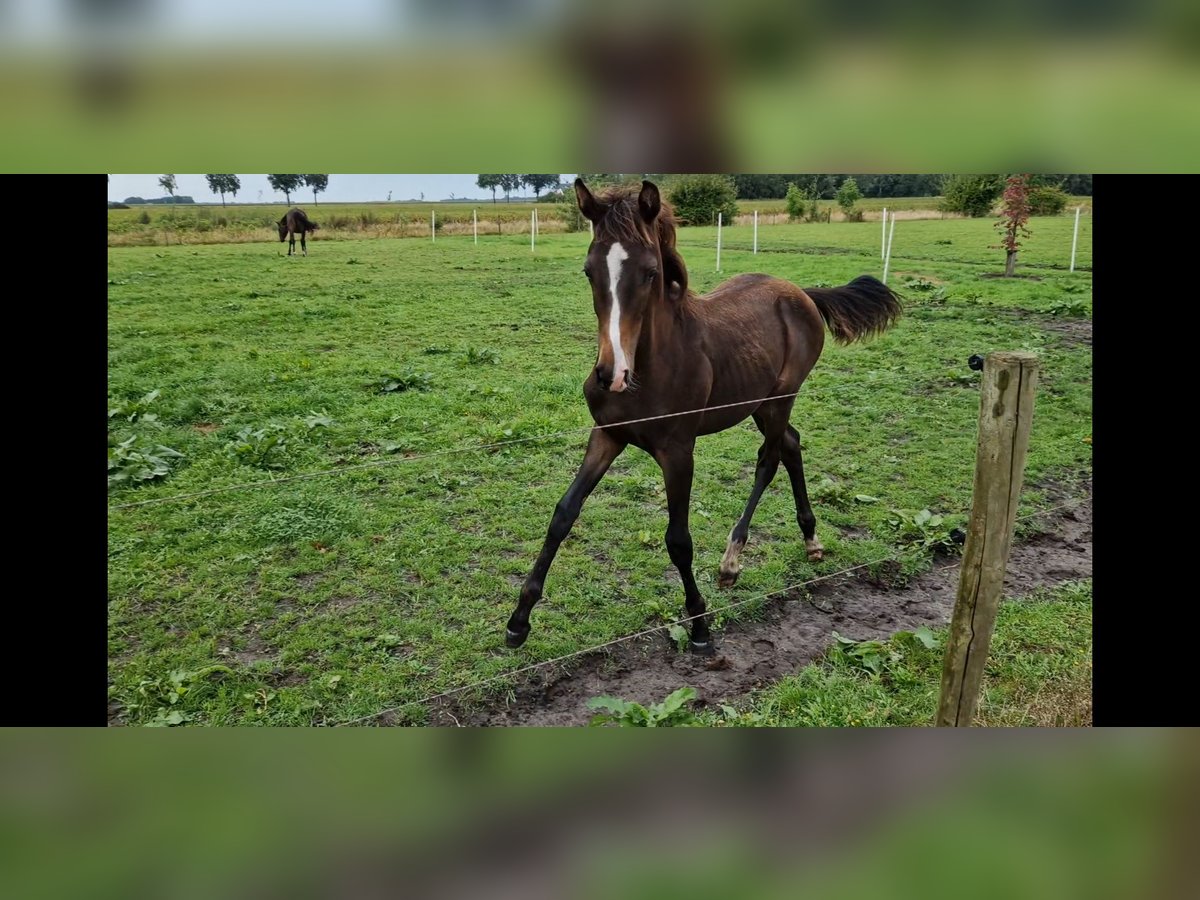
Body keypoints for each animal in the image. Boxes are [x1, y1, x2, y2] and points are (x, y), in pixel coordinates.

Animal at [501, 177, 902, 657]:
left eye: (651, 272)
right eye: (588, 270)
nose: (610, 375)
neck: (649, 368)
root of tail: (803, 292)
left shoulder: (678, 451)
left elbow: (678, 539)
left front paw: (699, 623)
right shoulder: (607, 435)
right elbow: (563, 513)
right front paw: (518, 621)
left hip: (781, 396)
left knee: (769, 457)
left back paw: (732, 562)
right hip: (759, 403)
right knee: (791, 444)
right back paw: (810, 540)